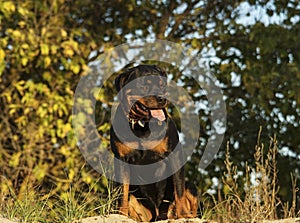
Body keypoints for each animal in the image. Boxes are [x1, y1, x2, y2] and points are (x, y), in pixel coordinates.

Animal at [109, 64, 198, 221]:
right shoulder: (121, 159)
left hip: (191, 185)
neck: (142, 126)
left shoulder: (174, 154)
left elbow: (179, 190)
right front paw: (121, 215)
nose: (162, 98)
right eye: (144, 86)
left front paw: (182, 214)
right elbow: (122, 193)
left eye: (162, 85)